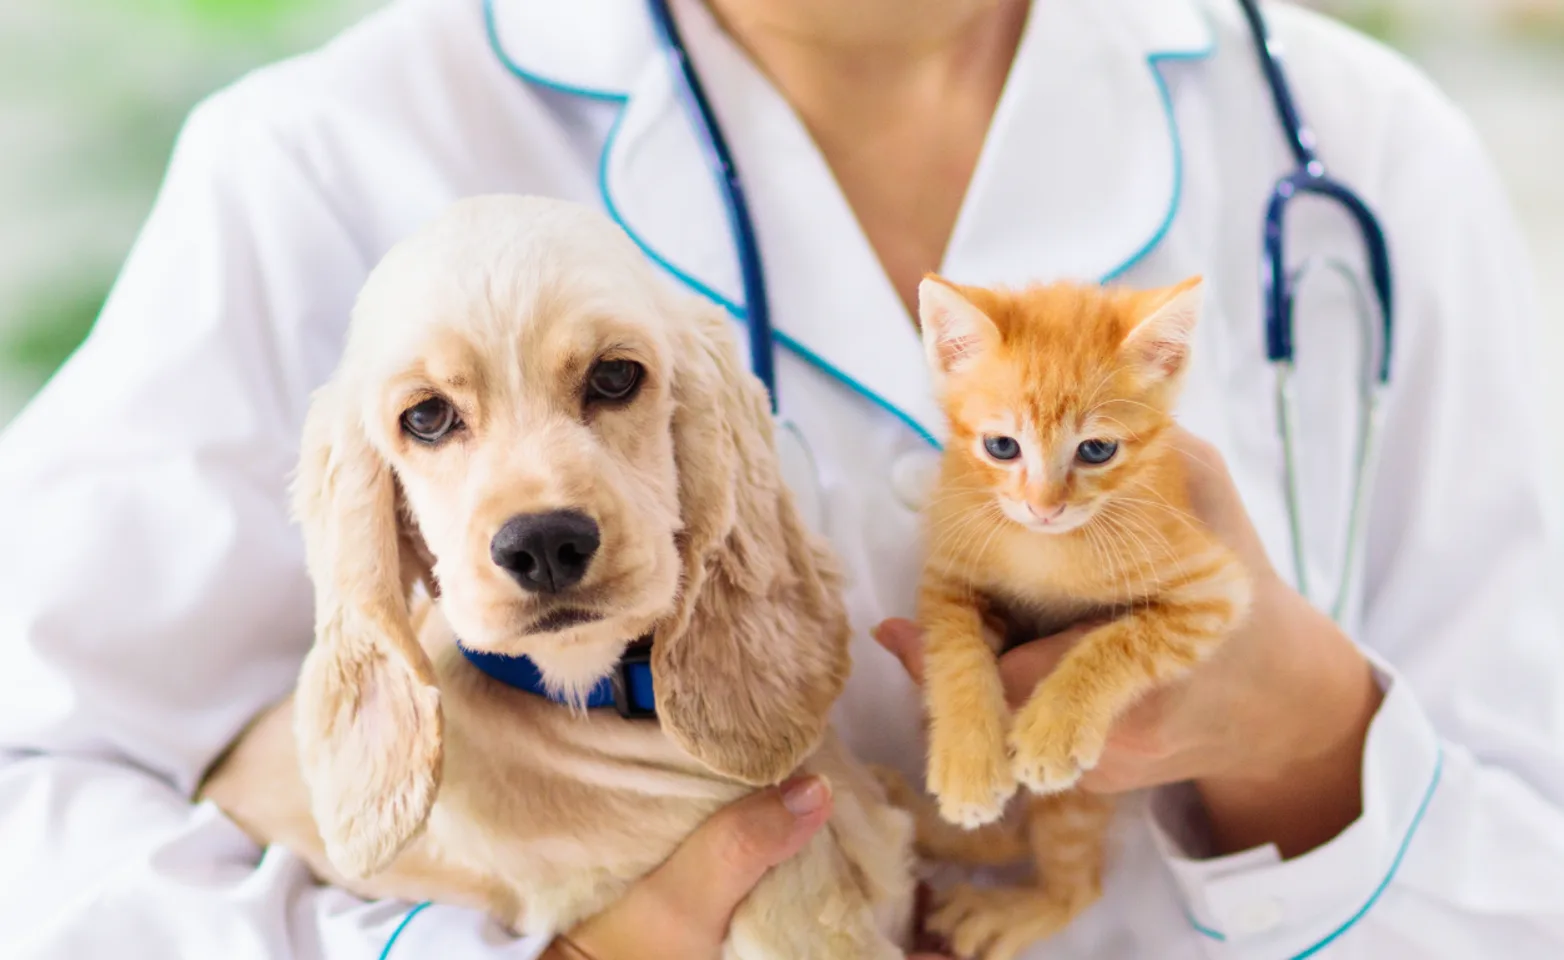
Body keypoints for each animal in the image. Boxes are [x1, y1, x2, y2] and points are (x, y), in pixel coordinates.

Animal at [913, 275, 1251, 956]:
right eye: (1001, 446)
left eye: (1096, 449)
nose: (1045, 507)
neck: (1045, 548)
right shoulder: (949, 576)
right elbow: (955, 653)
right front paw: (967, 761)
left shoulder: (1213, 588)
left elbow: (1117, 643)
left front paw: (1055, 727)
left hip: (1077, 803)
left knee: (1077, 883)